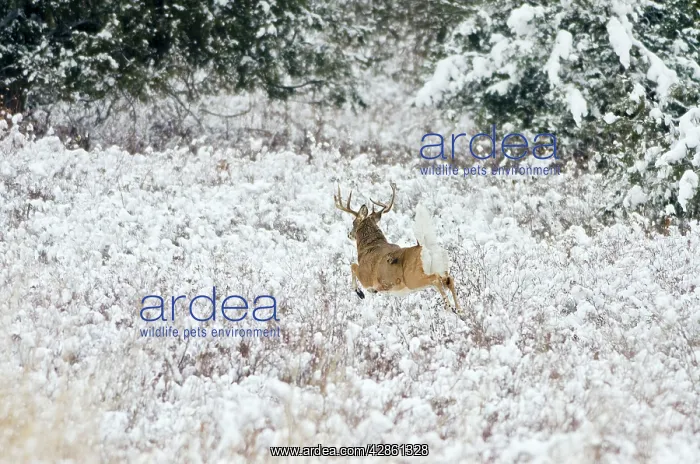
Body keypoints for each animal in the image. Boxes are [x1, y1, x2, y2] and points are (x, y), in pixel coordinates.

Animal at [334, 182, 460, 311]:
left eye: (354, 222)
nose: (349, 234)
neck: (368, 248)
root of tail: (428, 250)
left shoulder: (366, 277)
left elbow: (353, 265)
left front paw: (360, 293)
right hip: (442, 269)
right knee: (449, 280)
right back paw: (459, 310)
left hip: (413, 277)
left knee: (435, 279)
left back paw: (449, 306)